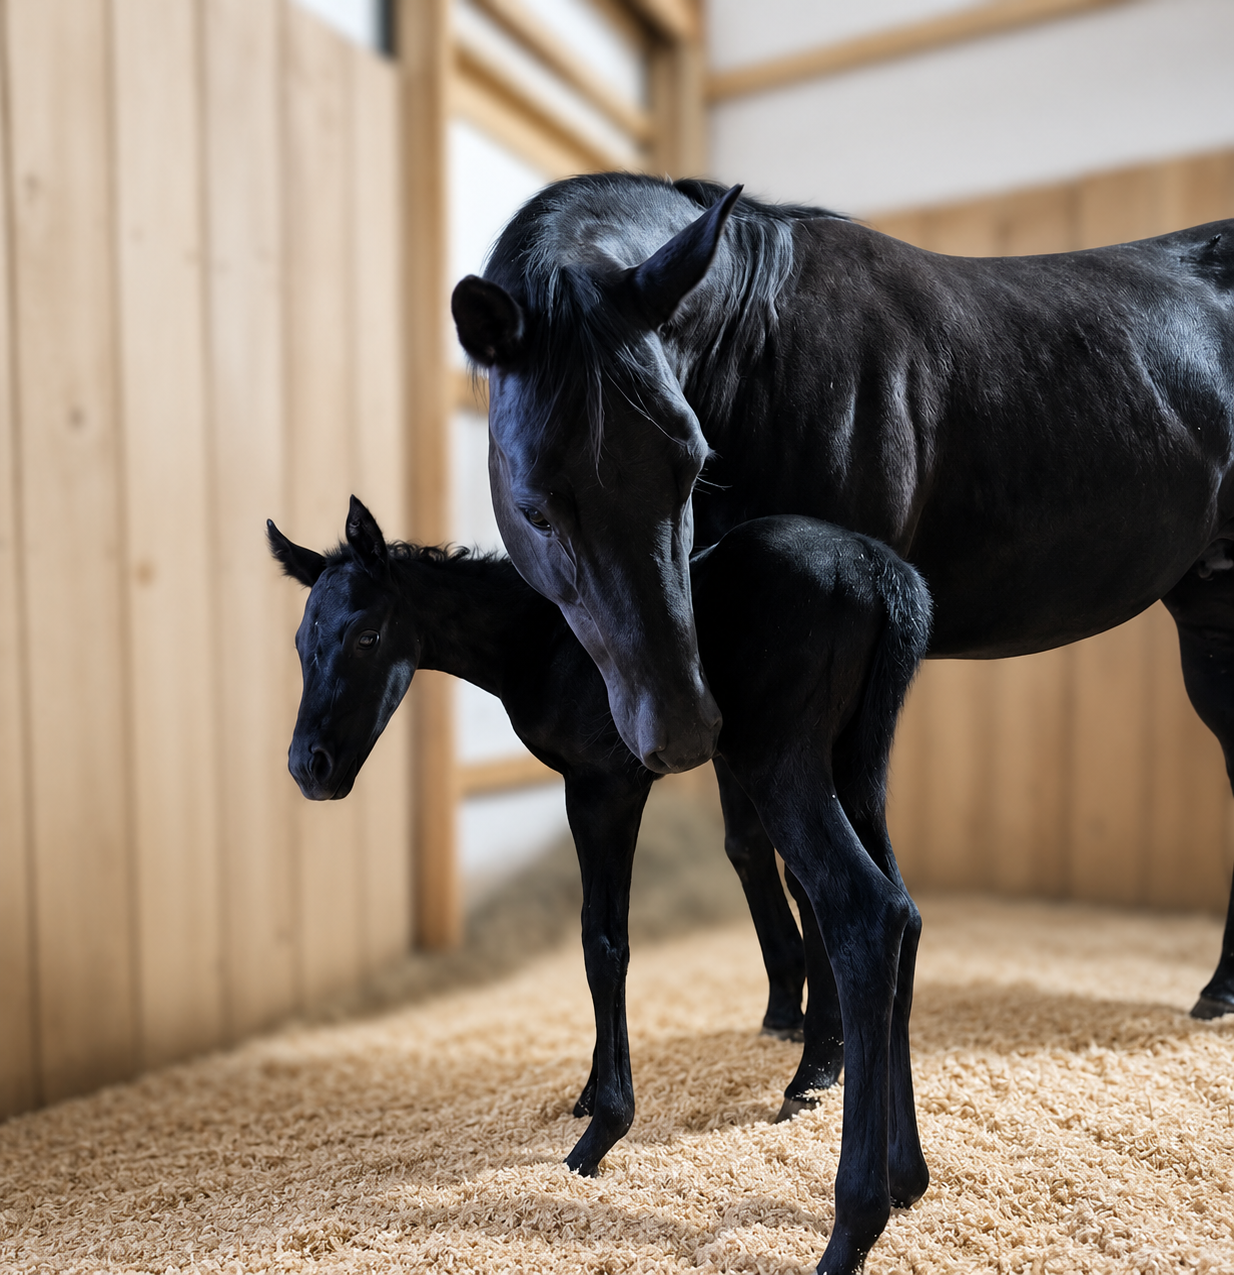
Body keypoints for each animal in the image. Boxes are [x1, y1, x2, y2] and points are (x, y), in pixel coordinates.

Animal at [270, 496, 932, 1274]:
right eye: (300, 641)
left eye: (367, 634)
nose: (309, 767)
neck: (543, 640)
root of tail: (879, 569)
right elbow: (602, 942)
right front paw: (590, 1096)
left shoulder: (602, 786)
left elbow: (603, 942)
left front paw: (601, 1132)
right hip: (858, 765)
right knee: (905, 915)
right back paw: (907, 1177)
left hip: (784, 764)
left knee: (865, 912)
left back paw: (851, 1226)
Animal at [451, 172, 1234, 1022]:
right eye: (535, 507)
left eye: (690, 466)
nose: (679, 735)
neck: (759, 350)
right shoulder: (727, 659)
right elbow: (749, 843)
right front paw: (783, 1012)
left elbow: (810, 870)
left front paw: (820, 1037)